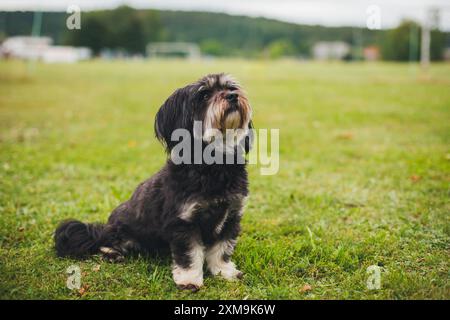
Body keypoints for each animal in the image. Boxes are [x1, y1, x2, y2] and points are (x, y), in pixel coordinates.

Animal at [53, 73, 253, 292]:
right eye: (205, 95)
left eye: (231, 87)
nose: (233, 96)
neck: (214, 166)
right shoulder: (183, 222)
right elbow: (190, 255)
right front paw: (190, 279)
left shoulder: (231, 215)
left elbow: (221, 249)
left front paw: (224, 272)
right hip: (123, 230)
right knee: (105, 242)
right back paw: (113, 253)